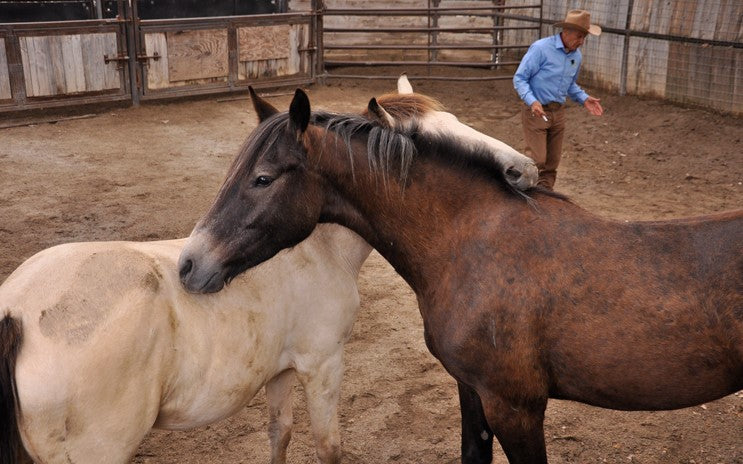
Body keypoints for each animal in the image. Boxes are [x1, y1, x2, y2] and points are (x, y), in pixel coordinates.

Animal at [0, 227, 370, 464]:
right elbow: (328, 448)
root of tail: (17, 310)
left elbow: (281, 434)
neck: (319, 247)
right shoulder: (323, 364)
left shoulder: (281, 370)